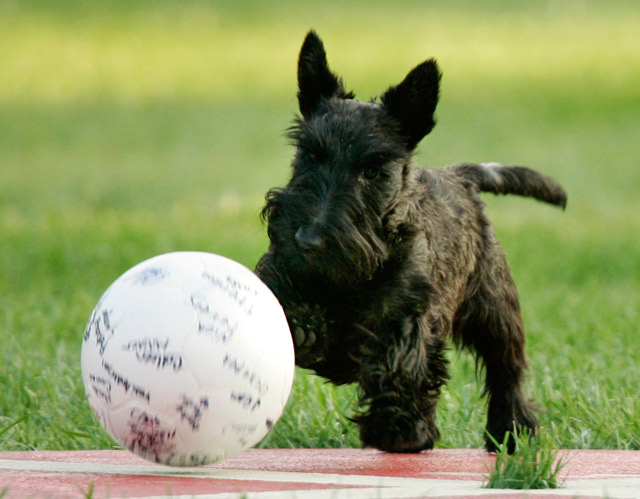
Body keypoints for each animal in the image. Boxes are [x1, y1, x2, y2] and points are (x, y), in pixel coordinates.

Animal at [255, 31, 564, 454]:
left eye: (373, 171)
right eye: (310, 155)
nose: (307, 240)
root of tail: (459, 175)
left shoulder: (408, 313)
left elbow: (400, 363)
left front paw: (400, 429)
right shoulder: (280, 271)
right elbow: (284, 298)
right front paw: (302, 325)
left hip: (496, 309)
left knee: (507, 372)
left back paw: (511, 432)